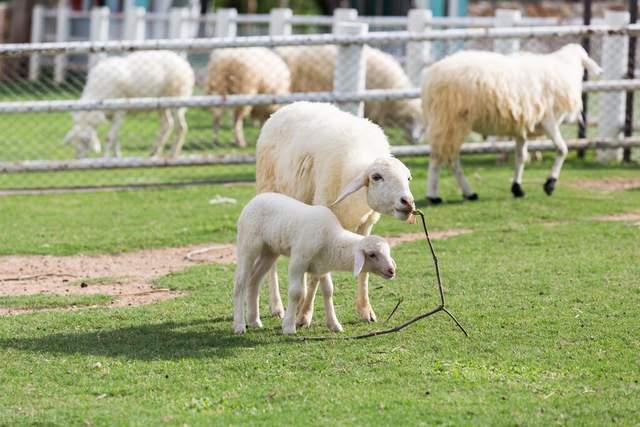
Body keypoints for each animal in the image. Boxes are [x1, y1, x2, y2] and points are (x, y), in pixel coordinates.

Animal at [65, 50, 196, 160]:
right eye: (74, 142)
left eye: (86, 141)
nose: (79, 159)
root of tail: (185, 64)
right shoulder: (111, 115)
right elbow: (115, 137)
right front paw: (117, 156)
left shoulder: (120, 111)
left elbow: (109, 137)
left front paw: (105, 158)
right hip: (161, 104)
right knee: (167, 124)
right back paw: (154, 153)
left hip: (177, 99)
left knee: (181, 127)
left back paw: (172, 154)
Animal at [232, 192, 398, 336]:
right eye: (372, 255)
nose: (391, 271)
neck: (332, 239)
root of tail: (255, 198)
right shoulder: (298, 260)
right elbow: (296, 292)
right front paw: (289, 327)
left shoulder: (322, 266)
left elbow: (328, 291)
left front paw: (334, 324)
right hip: (248, 244)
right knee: (240, 283)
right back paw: (239, 325)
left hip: (270, 250)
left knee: (254, 280)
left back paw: (254, 321)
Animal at [255, 101, 416, 328]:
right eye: (376, 177)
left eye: (408, 178)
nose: (407, 202)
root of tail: (289, 106)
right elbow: (317, 276)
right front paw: (304, 315)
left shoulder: (366, 224)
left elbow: (363, 271)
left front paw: (365, 310)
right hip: (269, 194)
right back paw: (277, 306)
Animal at [420, 43, 600, 204]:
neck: (565, 68)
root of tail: (430, 77)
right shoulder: (548, 120)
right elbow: (562, 149)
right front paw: (550, 184)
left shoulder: (522, 127)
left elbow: (521, 157)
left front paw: (517, 188)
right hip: (450, 119)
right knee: (440, 157)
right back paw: (435, 196)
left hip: (448, 121)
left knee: (449, 157)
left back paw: (467, 193)